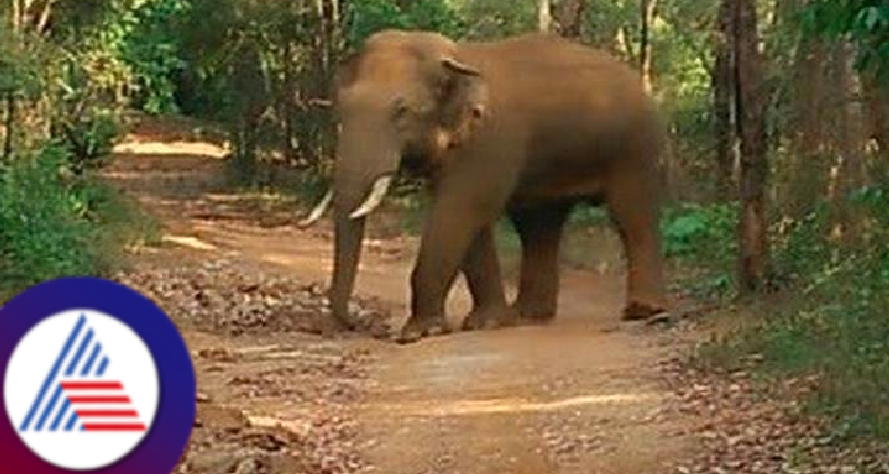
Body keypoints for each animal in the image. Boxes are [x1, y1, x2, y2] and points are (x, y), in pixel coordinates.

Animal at [304, 29, 670, 342]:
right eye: (341, 109)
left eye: (401, 110)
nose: (355, 324)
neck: (456, 57)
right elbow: (470, 219)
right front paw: (488, 322)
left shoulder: (489, 141)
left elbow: (460, 210)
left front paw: (419, 332)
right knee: (538, 225)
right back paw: (528, 316)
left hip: (639, 146)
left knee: (632, 216)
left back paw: (644, 312)